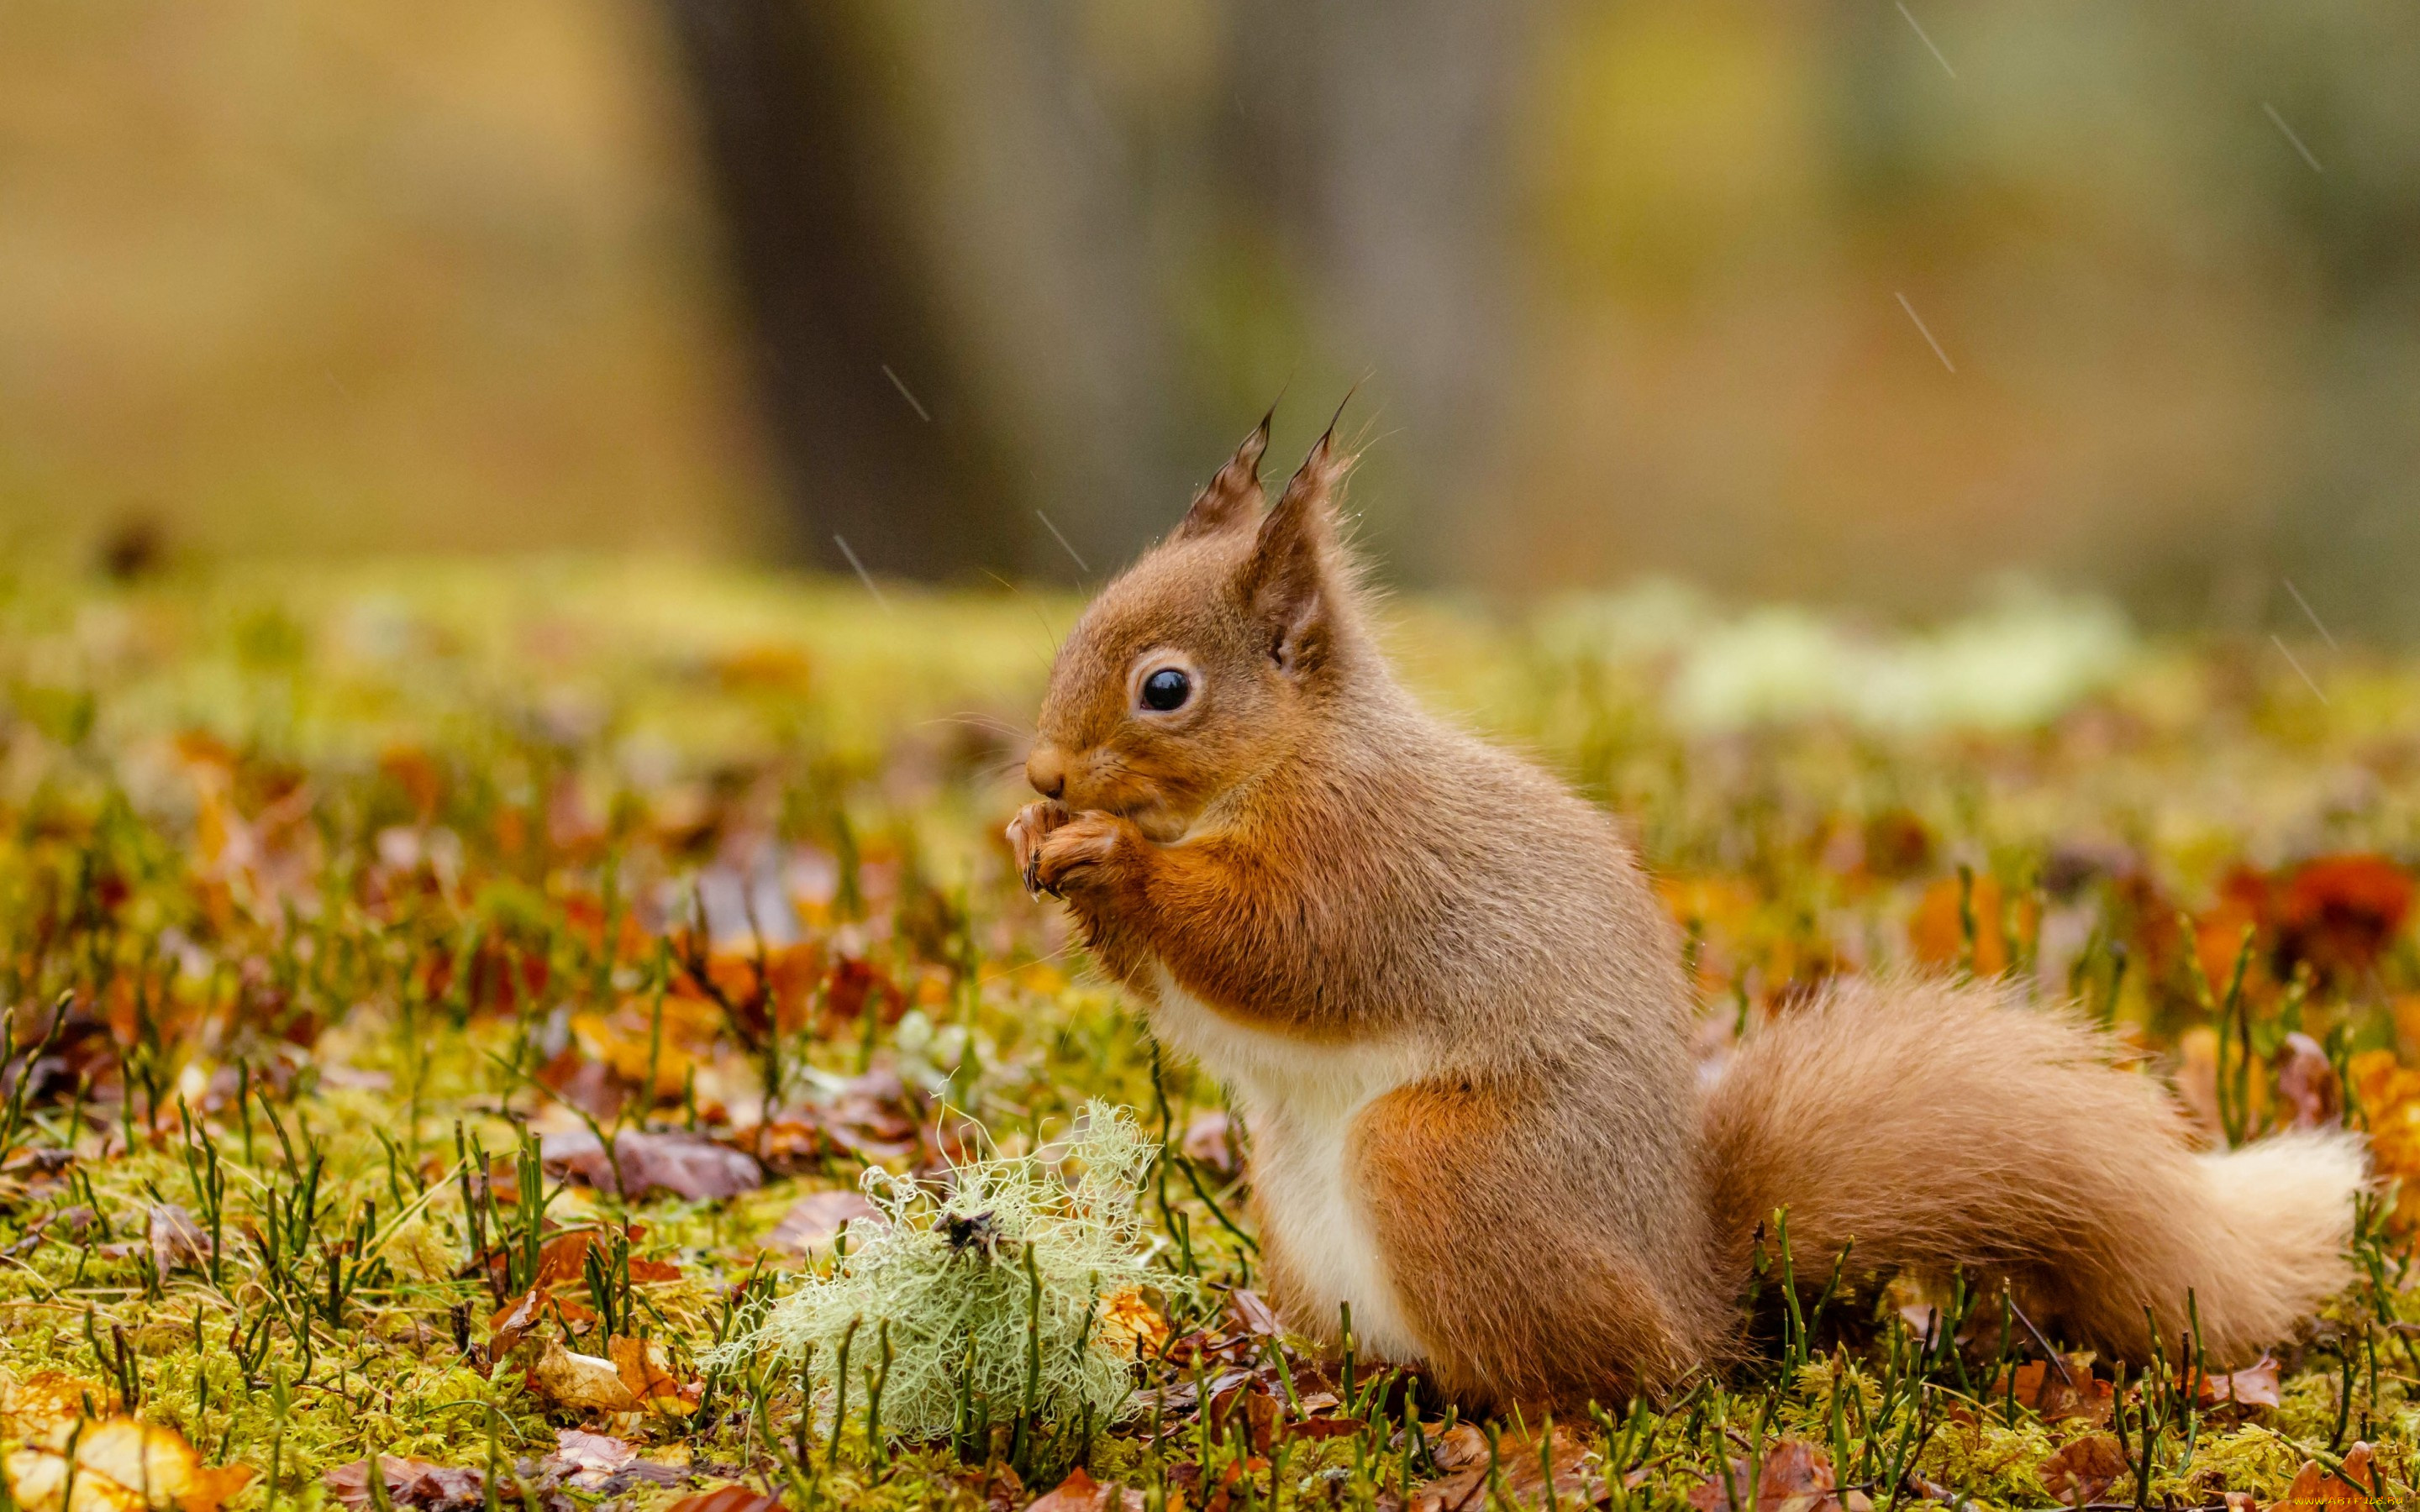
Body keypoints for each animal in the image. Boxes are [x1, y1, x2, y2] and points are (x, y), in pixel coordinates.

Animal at [1002, 413, 2361, 1403]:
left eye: (1166, 689)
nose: (1046, 773)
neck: (1289, 758)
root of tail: (1696, 1293)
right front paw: (1034, 841)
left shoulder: (1364, 861)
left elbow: (1276, 947)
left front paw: (1111, 859)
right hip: (1292, 1195)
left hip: (1447, 1167)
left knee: (1608, 1377)